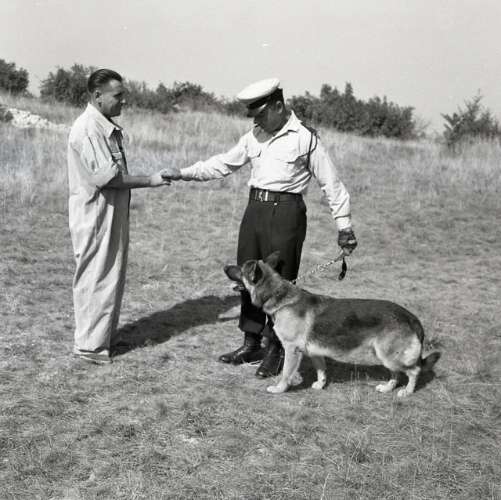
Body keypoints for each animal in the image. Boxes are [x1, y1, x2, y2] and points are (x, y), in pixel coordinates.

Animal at [224, 251, 440, 396]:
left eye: (240, 269)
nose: (225, 267)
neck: (278, 295)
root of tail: (410, 316)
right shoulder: (315, 351)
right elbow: (321, 370)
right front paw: (320, 385)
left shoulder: (292, 350)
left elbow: (286, 373)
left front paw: (279, 388)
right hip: (384, 355)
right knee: (396, 373)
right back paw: (387, 387)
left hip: (390, 355)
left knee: (414, 370)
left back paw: (407, 391)